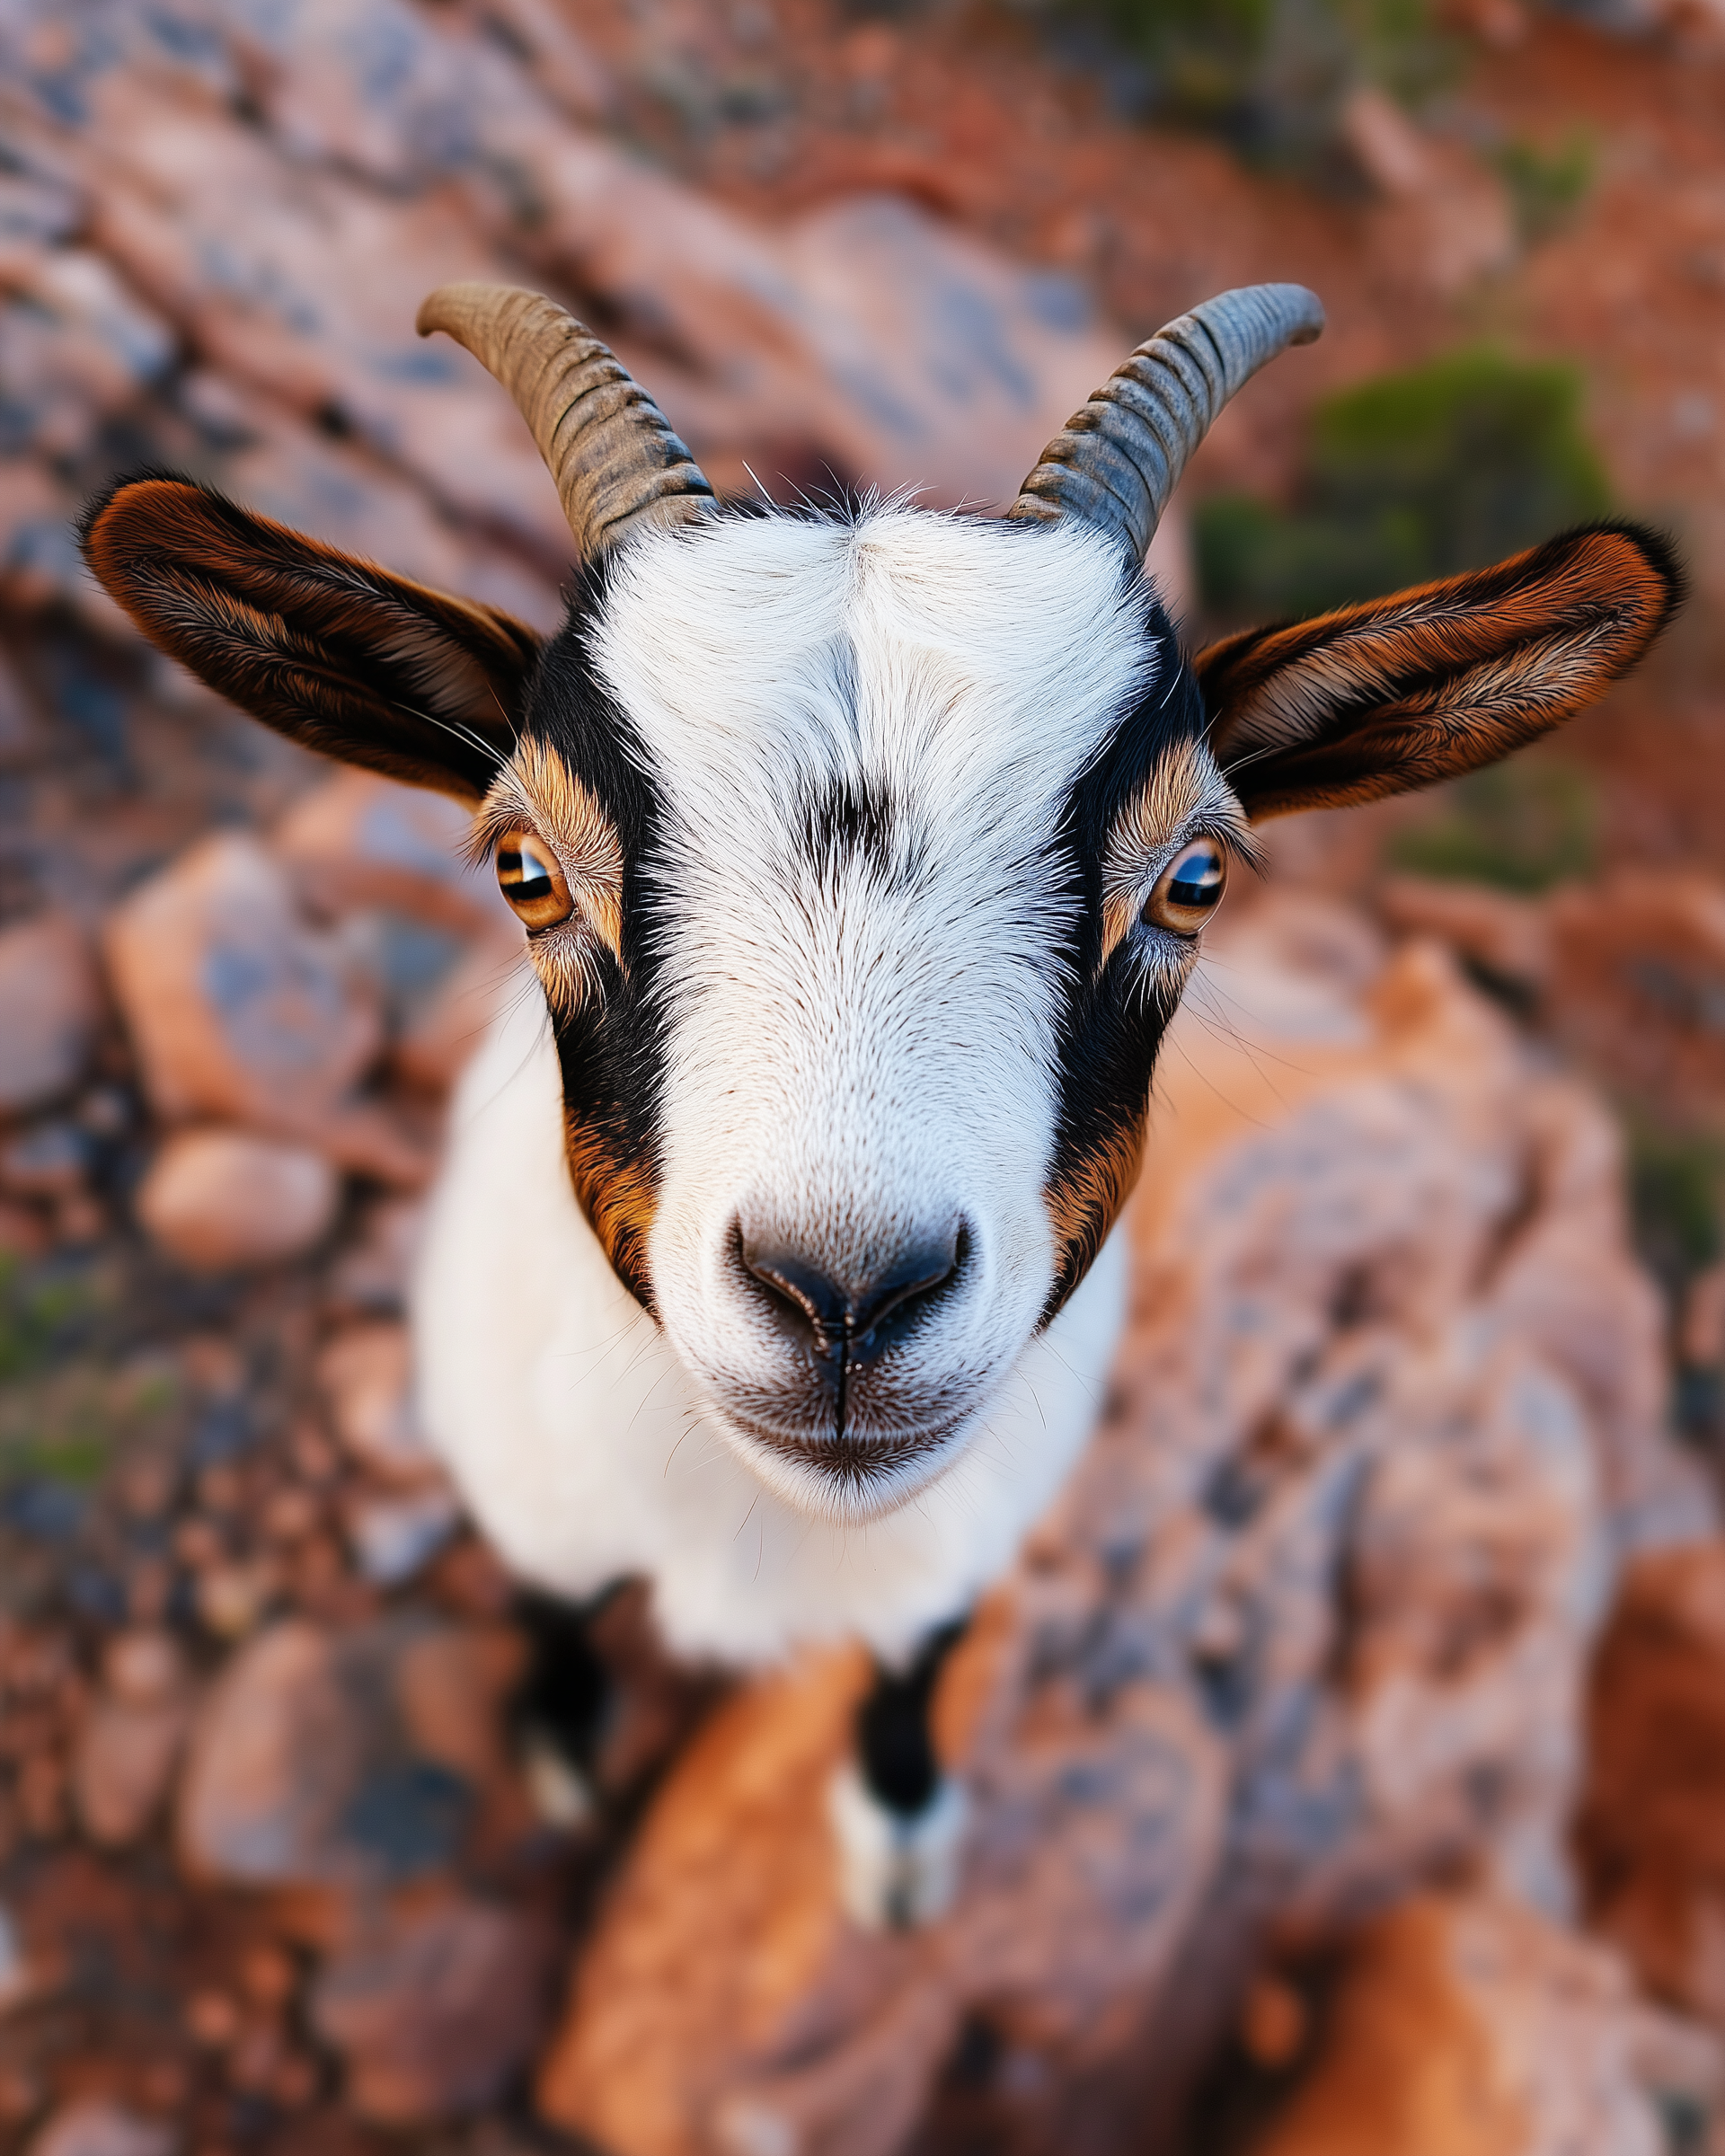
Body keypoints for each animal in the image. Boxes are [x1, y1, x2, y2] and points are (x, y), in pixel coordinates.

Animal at [81, 279, 1680, 1927]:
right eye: (522, 867)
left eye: (1197, 877)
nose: (845, 1294)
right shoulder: (532, 1500)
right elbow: (557, 1614)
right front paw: (562, 1744)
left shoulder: (975, 1532)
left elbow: (918, 1664)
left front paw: (902, 1842)